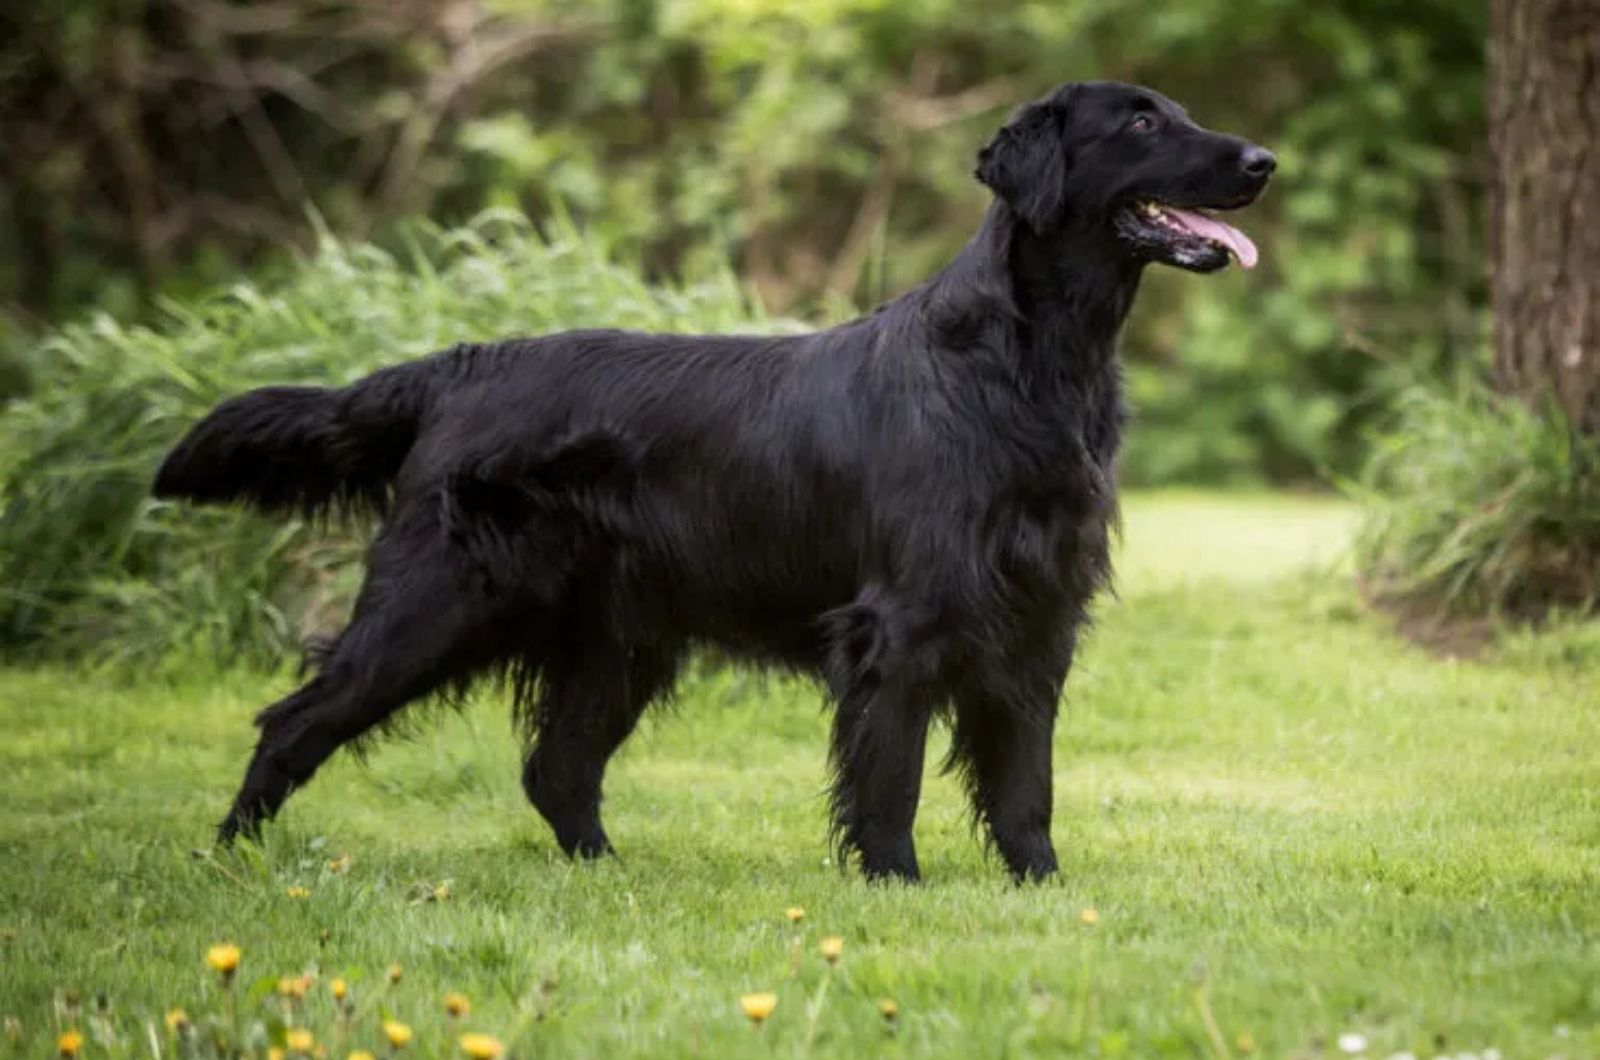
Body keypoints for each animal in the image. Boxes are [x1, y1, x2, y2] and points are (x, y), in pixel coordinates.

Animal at [152, 78, 1273, 883]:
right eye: (1140, 120)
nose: (1264, 160)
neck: (1030, 362)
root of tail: (462, 364)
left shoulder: (1041, 616)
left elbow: (1024, 781)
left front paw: (1042, 886)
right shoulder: (903, 623)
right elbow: (891, 778)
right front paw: (895, 885)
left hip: (617, 639)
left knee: (556, 768)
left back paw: (607, 874)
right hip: (434, 601)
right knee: (294, 723)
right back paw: (229, 860)